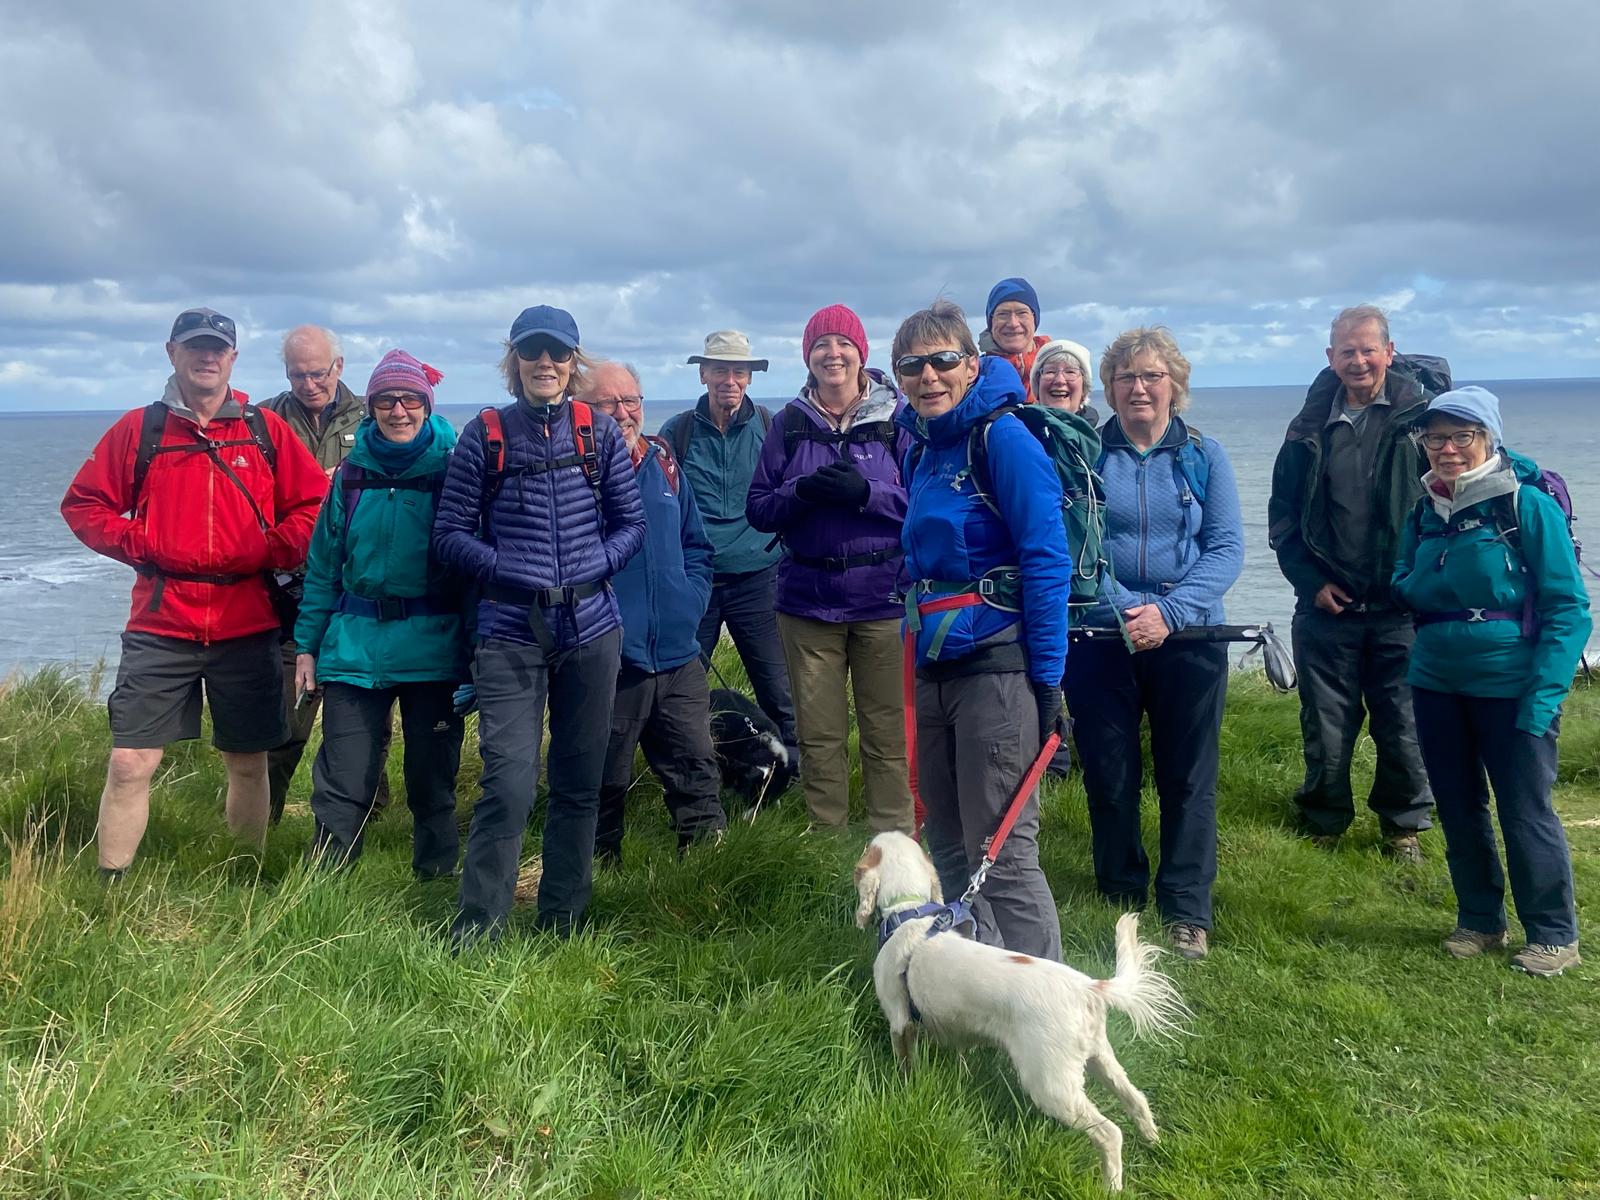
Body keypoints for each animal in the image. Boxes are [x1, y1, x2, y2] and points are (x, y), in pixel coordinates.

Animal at [851, 838, 1190, 1196]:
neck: (909, 915)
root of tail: (1088, 987)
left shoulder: (900, 1021)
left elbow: (905, 1061)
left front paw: (903, 1084)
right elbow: (960, 1055)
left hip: (1051, 1084)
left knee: (1110, 1132)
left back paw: (1111, 1186)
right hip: (1101, 1058)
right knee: (1137, 1099)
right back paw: (1153, 1140)